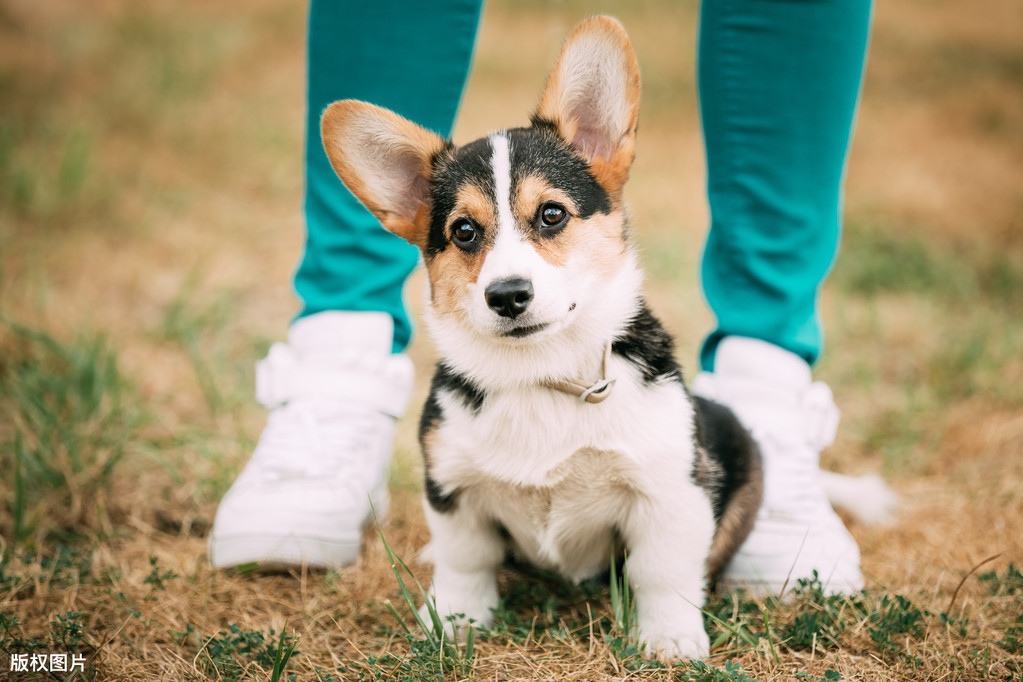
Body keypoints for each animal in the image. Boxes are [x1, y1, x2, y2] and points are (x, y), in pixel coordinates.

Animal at [323, 15, 765, 662]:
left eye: (552, 215)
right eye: (463, 231)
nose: (507, 295)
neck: (542, 371)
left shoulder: (667, 491)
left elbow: (662, 571)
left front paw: (670, 638)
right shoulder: (452, 485)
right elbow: (465, 560)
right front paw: (454, 620)